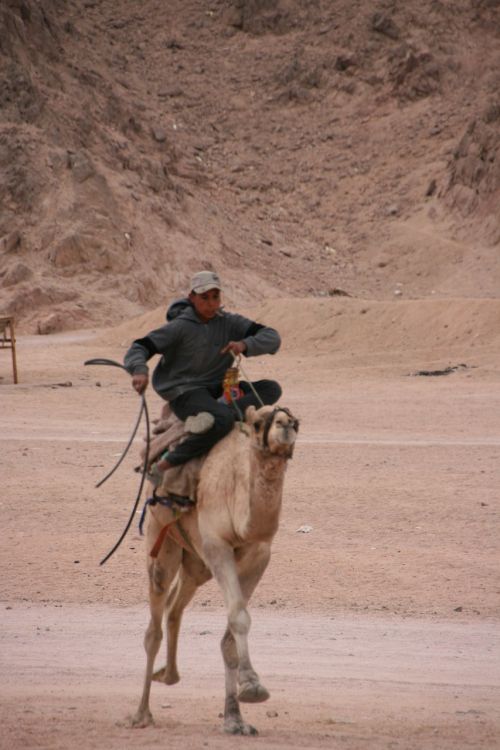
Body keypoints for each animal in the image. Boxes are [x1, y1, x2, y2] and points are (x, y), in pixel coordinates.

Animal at [131, 402, 298, 736]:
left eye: (296, 421)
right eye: (259, 423)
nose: (285, 425)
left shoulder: (259, 554)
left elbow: (232, 631)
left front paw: (236, 718)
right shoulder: (217, 545)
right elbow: (238, 617)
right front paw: (252, 686)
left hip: (196, 565)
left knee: (174, 607)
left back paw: (168, 675)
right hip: (162, 539)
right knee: (154, 623)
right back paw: (142, 714)